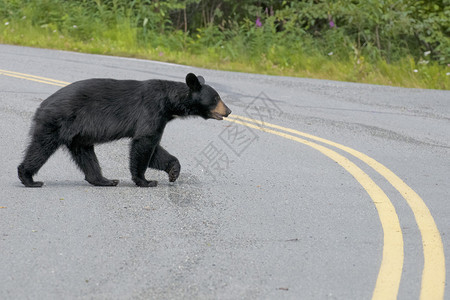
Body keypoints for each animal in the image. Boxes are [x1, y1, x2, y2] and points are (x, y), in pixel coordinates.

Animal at [16, 73, 232, 188]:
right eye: (216, 98)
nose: (229, 111)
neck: (169, 103)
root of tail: (42, 105)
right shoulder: (151, 111)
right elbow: (144, 143)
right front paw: (145, 181)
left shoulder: (160, 117)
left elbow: (154, 149)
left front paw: (173, 171)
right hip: (56, 123)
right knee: (40, 148)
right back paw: (29, 179)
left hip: (78, 135)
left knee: (85, 155)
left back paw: (104, 180)